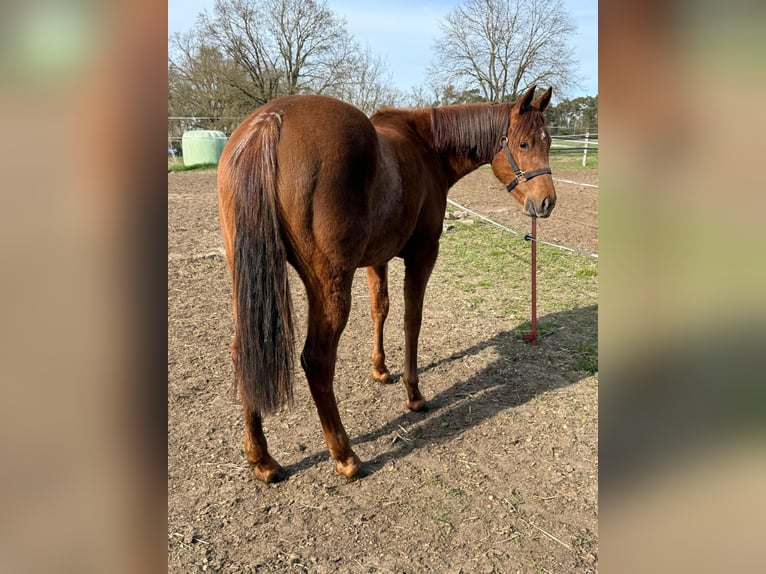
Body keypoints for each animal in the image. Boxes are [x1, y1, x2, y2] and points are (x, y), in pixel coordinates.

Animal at [217, 84, 556, 483]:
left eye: (549, 141)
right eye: (523, 143)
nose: (546, 201)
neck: (427, 146)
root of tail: (270, 121)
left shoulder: (376, 259)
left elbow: (381, 308)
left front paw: (380, 369)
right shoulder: (422, 255)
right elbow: (412, 320)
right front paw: (414, 395)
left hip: (247, 282)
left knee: (243, 352)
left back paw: (262, 459)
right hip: (329, 285)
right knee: (317, 360)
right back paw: (345, 455)